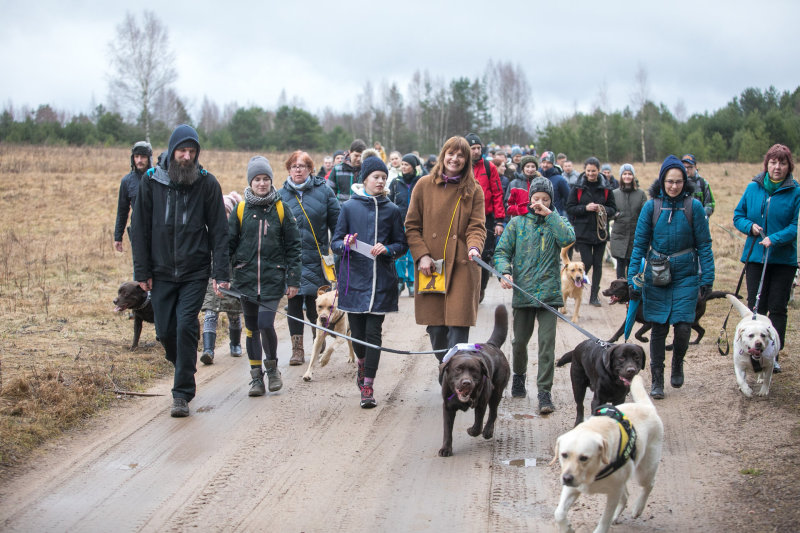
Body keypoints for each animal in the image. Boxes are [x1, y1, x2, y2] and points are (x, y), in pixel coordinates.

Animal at [438, 306, 512, 456]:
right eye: (458, 369)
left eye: (474, 371)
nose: (466, 382)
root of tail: (492, 345)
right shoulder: (448, 407)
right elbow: (447, 430)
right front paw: (446, 449)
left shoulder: (481, 403)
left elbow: (478, 425)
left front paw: (471, 430)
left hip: (496, 391)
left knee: (493, 412)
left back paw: (488, 431)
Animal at [552, 374, 664, 532]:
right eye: (564, 455)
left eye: (584, 458)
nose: (567, 478)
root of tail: (647, 407)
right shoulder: (572, 488)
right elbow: (559, 513)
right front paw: (567, 528)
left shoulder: (613, 493)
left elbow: (605, 520)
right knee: (626, 496)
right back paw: (618, 516)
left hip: (645, 469)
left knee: (649, 484)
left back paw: (638, 508)